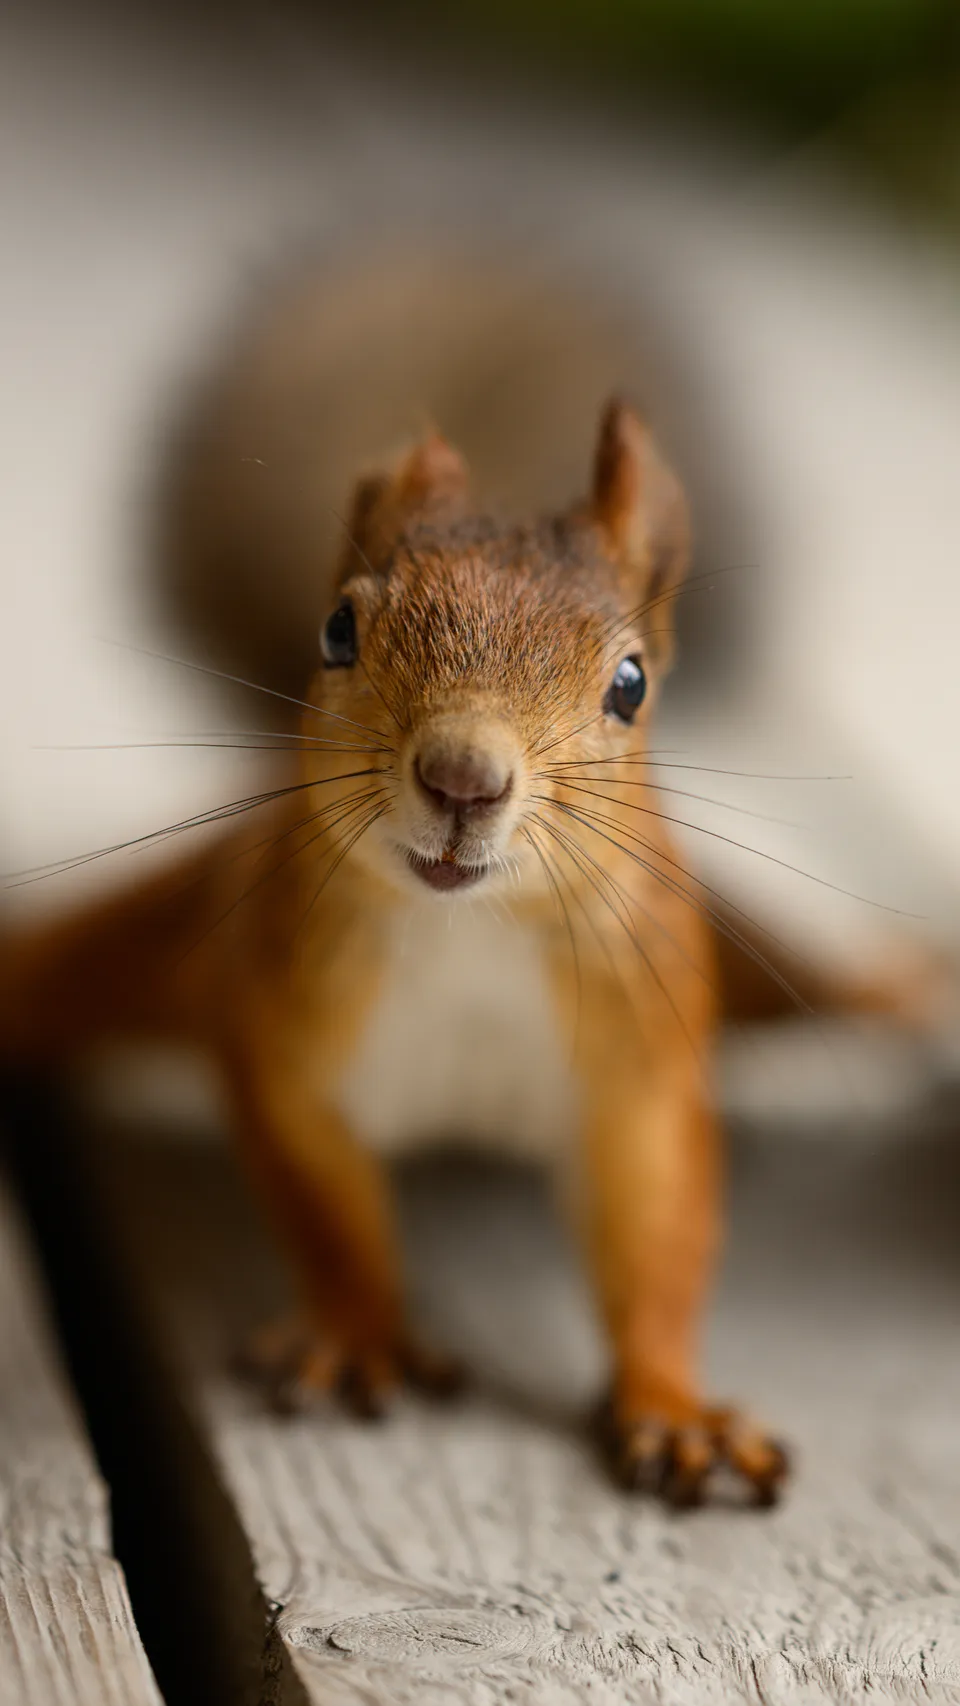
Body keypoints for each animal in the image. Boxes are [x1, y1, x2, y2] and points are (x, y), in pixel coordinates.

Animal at [1, 258, 930, 1507]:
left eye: (631, 682)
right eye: (337, 630)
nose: (462, 777)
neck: (471, 930)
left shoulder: (642, 1061)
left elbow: (657, 1228)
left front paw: (674, 1406)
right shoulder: (280, 1025)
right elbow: (325, 1204)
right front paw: (357, 1330)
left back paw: (905, 981)